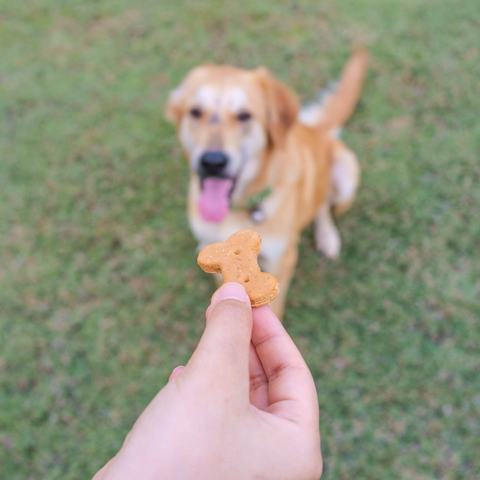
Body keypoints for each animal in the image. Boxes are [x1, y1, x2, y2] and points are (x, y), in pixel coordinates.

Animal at [165, 48, 368, 318]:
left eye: (244, 115)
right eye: (195, 112)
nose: (212, 162)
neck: (238, 208)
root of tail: (316, 130)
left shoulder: (282, 260)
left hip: (346, 174)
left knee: (323, 204)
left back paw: (327, 236)